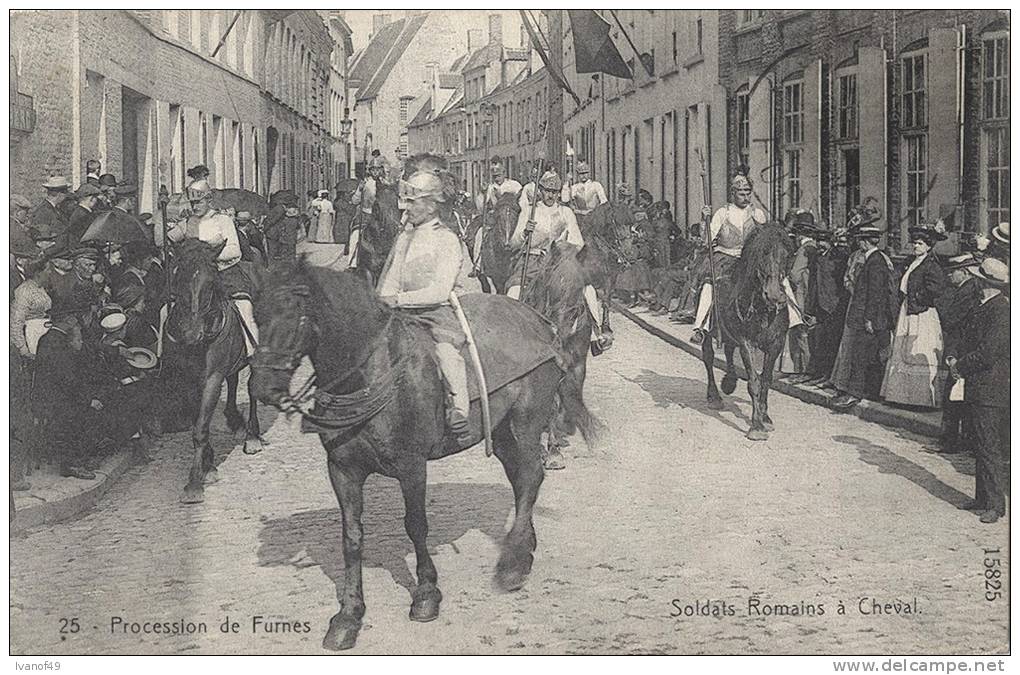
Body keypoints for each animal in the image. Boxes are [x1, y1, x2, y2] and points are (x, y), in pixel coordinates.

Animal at [166, 237, 267, 501]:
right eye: (178, 277)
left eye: (211, 282)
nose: (192, 333)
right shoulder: (187, 382)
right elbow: (198, 422)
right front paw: (208, 466)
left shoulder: (211, 378)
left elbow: (200, 428)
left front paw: (194, 483)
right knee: (233, 381)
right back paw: (235, 421)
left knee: (252, 388)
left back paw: (252, 436)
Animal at [248, 263, 595, 652]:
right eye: (257, 315)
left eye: (295, 315)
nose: (261, 387)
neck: (372, 375)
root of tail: (541, 322)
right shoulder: (342, 469)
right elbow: (351, 538)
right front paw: (349, 615)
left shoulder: (411, 466)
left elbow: (416, 526)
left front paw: (427, 594)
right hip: (503, 432)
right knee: (522, 481)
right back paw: (524, 546)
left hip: (525, 424)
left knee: (531, 476)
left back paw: (513, 566)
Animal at [701, 223, 795, 444]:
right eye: (763, 252)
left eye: (786, 254)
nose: (774, 295)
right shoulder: (747, 344)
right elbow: (754, 382)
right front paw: (756, 426)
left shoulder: (776, 344)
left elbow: (766, 380)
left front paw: (765, 417)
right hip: (709, 331)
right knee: (708, 356)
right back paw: (715, 396)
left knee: (727, 349)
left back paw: (729, 381)